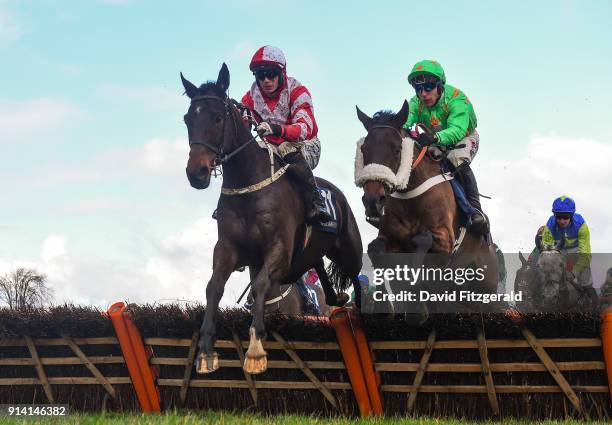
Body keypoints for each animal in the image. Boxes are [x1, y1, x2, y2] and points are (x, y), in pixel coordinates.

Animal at [182, 63, 364, 374]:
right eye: (187, 119)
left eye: (217, 117)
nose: (197, 173)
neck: (248, 185)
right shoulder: (228, 248)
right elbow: (214, 287)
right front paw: (205, 351)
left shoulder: (279, 249)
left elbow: (260, 285)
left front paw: (255, 351)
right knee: (317, 265)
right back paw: (335, 297)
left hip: (349, 248)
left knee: (358, 280)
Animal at [354, 101, 498, 310]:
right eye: (364, 149)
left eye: (397, 149)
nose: (373, 201)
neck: (410, 198)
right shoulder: (389, 239)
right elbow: (376, 249)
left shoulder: (446, 241)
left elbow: (421, 242)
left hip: (485, 292)